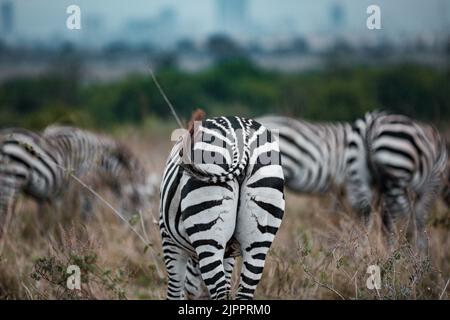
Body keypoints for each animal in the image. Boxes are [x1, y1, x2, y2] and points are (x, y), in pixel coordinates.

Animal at [0, 127, 153, 235]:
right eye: (136, 202)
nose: (141, 233)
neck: (101, 163)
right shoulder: (88, 185)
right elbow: (86, 212)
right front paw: (84, 233)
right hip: (11, 181)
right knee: (5, 220)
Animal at [159, 115, 284, 300]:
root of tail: (242, 140)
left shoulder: (169, 241)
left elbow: (174, 291)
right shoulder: (229, 253)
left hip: (207, 232)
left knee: (219, 292)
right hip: (259, 235)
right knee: (244, 291)